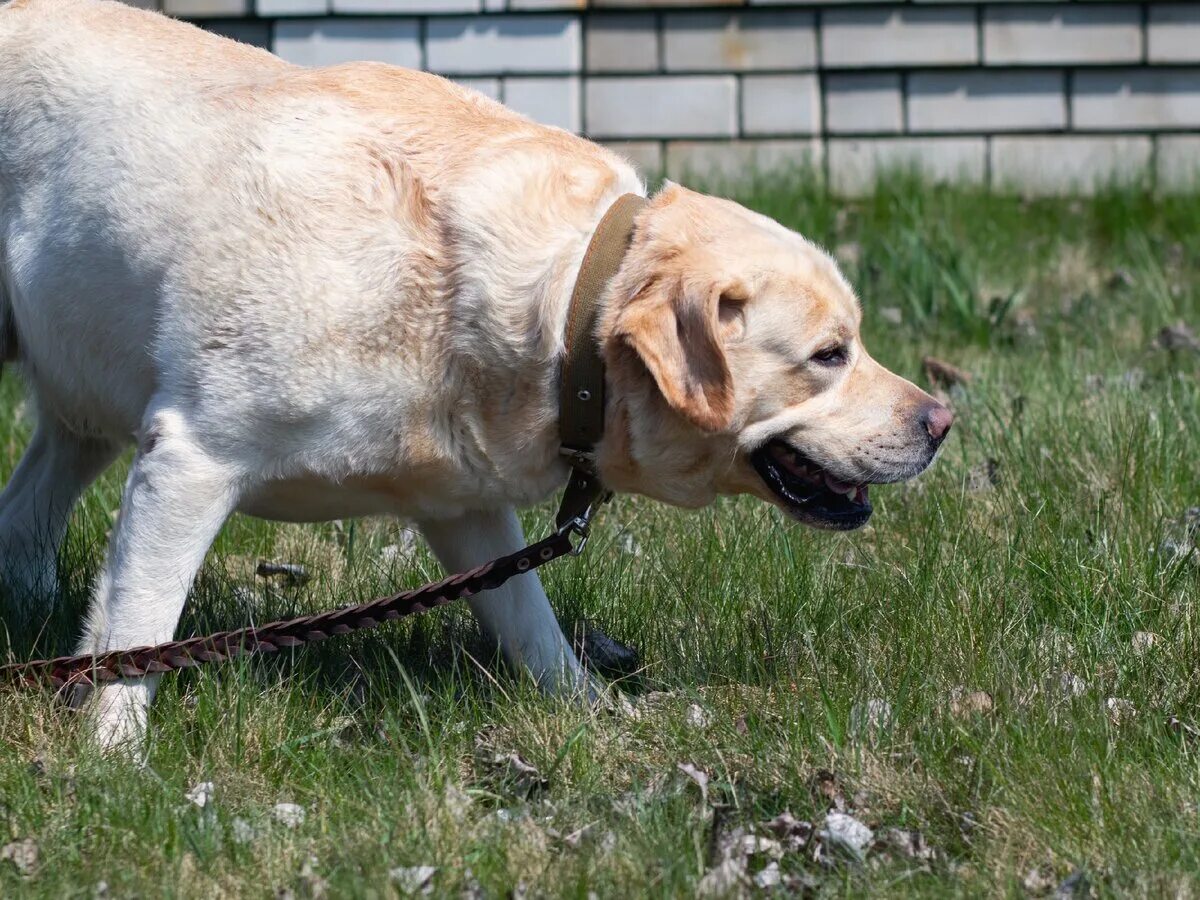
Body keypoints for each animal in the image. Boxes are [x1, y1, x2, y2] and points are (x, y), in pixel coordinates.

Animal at [2, 0, 955, 748]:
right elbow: (139, 623)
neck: (567, 312)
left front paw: (589, 713)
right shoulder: (192, 457)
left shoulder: (463, 504)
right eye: (829, 356)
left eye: (855, 344)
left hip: (86, 387)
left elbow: (530, 620)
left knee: (31, 502)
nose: (943, 421)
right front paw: (113, 756)